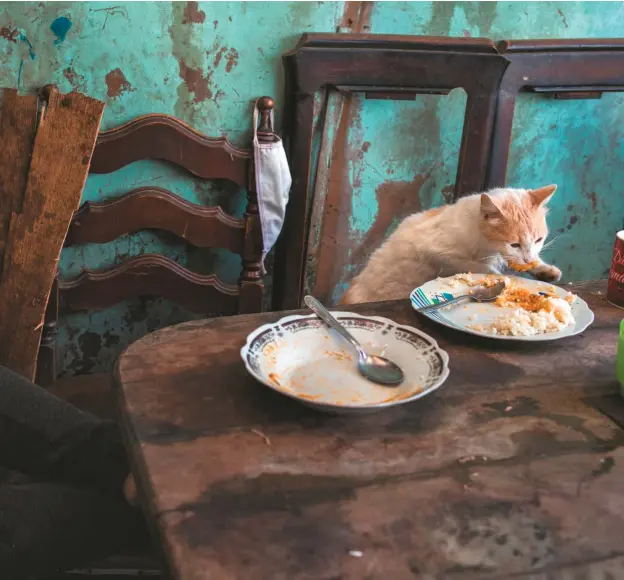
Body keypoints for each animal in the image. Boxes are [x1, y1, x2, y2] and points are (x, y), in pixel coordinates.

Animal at [342, 186, 560, 306]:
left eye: (539, 240)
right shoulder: (439, 253)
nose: (528, 257)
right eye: (514, 244)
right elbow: (481, 267)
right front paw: (505, 280)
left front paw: (544, 270)